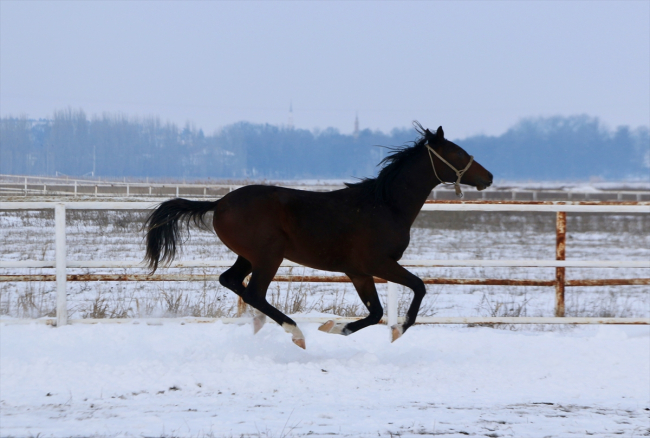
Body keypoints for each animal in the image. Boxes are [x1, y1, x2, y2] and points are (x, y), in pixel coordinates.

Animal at [144, 126, 492, 350]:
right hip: (269, 256)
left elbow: (376, 312)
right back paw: (295, 333)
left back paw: (260, 323)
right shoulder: (378, 263)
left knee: (230, 280)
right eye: (457, 152)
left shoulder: (359, 271)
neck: (385, 205)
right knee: (255, 292)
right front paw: (396, 331)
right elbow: (417, 288)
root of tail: (219, 203)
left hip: (249, 256)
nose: (488, 177)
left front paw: (336, 326)